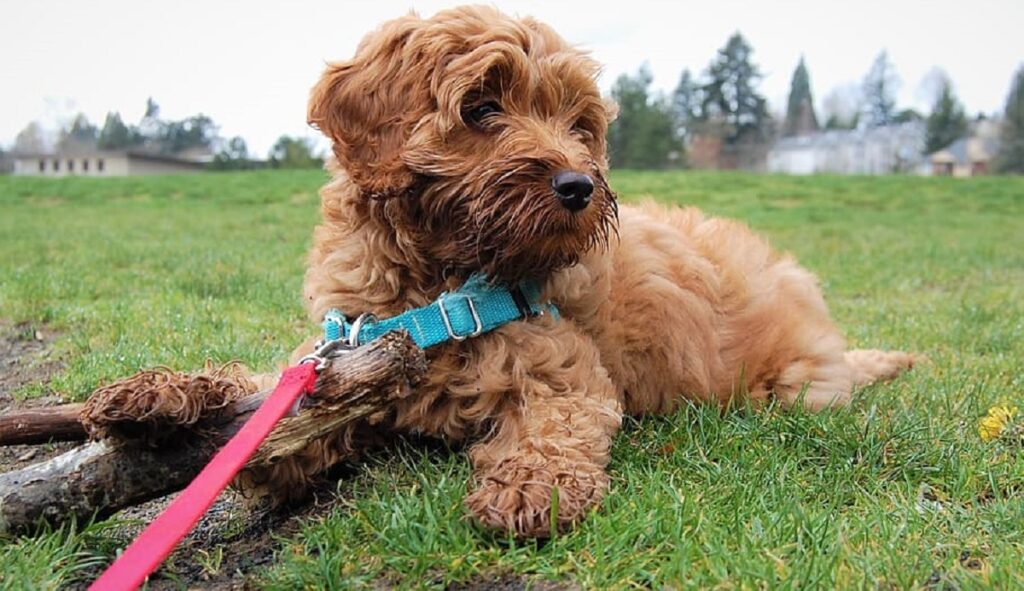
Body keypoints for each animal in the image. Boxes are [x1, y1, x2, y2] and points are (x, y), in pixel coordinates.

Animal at [260, 5, 917, 540]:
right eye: (481, 108)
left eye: (579, 125)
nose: (579, 186)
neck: (442, 297)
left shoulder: (564, 370)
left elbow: (556, 426)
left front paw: (530, 489)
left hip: (791, 385)